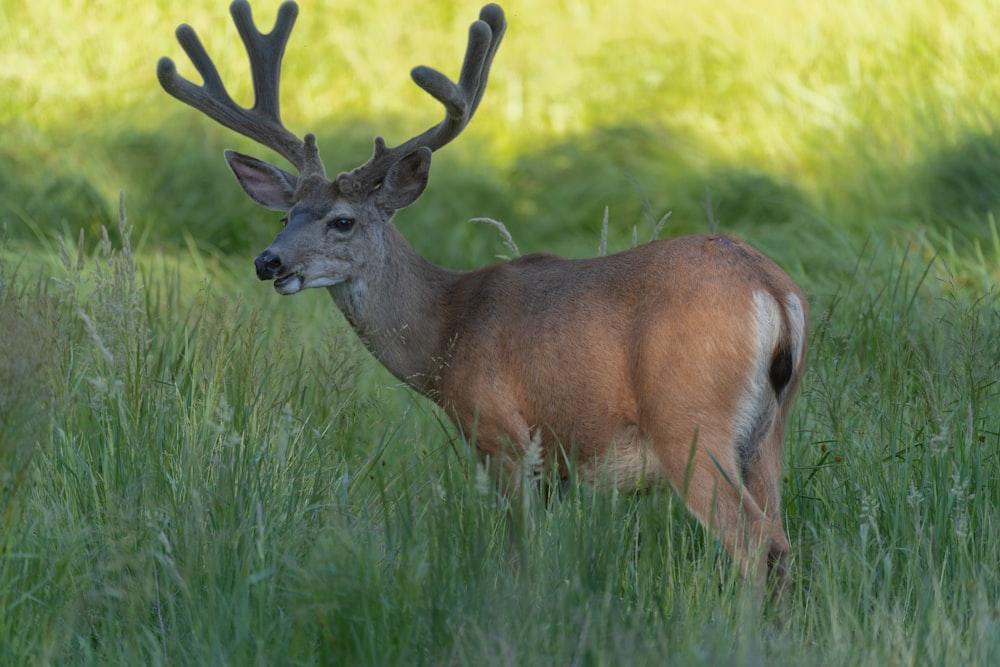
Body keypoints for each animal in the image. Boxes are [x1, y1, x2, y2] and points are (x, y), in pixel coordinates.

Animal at [160, 0, 808, 604]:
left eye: (342, 221)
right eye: (285, 215)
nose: (268, 262)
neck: (447, 329)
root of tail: (772, 289)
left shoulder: (500, 434)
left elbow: (521, 557)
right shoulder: (555, 466)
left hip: (689, 420)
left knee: (756, 543)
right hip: (768, 432)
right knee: (781, 540)